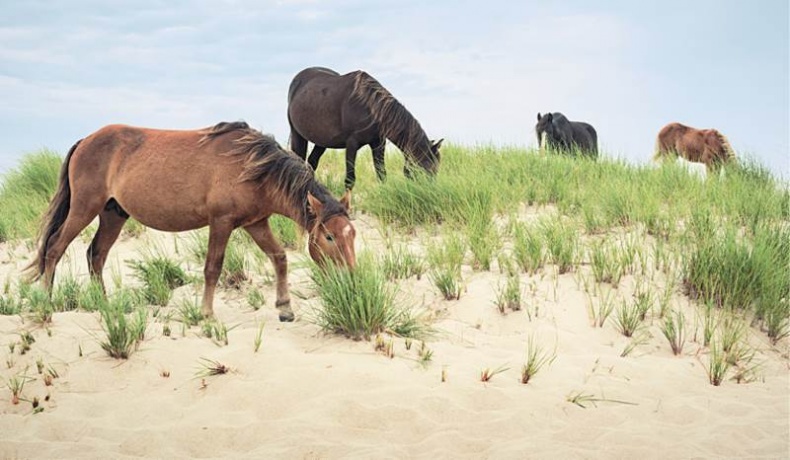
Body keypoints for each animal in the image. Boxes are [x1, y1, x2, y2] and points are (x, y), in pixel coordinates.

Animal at [25, 121, 356, 322]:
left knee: (96, 255)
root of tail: (85, 141)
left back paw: (105, 306)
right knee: (55, 248)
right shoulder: (221, 222)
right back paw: (46, 304)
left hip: (112, 215)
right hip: (84, 208)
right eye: (329, 237)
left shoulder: (256, 223)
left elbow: (279, 257)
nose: (352, 278)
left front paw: (284, 308)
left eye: (352, 235)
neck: (252, 166)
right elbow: (213, 268)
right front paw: (207, 315)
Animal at [287, 66, 443, 190]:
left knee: (312, 163)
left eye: (436, 169)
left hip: (322, 141)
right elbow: (350, 179)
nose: (430, 193)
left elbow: (381, 174)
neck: (369, 107)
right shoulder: (352, 144)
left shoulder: (378, 144)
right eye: (424, 169)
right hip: (297, 135)